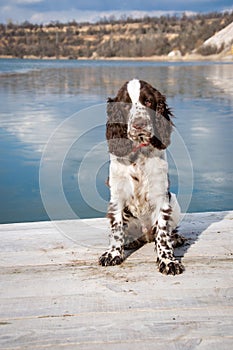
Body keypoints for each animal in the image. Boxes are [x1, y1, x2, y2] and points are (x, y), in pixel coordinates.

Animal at [99, 78, 186, 274]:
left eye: (148, 102)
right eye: (125, 105)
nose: (139, 124)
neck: (138, 155)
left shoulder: (161, 196)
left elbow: (162, 233)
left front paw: (168, 261)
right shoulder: (117, 195)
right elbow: (116, 228)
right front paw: (113, 254)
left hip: (174, 200)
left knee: (166, 231)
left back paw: (176, 238)